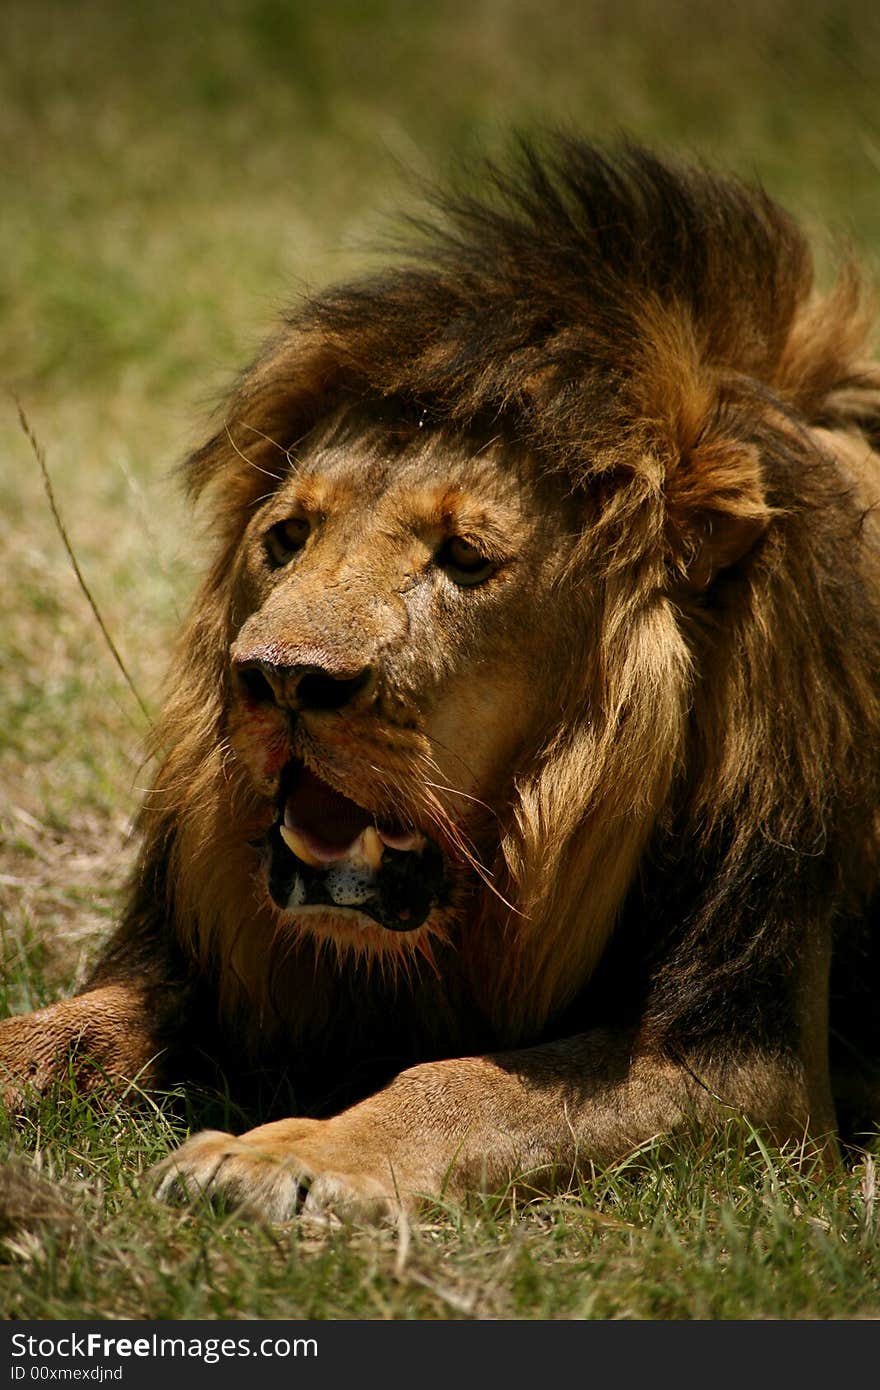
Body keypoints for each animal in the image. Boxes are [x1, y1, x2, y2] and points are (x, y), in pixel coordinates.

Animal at [1, 141, 878, 1223]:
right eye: (287, 538)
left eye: (463, 557)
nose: (279, 679)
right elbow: (55, 1032)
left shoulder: (747, 1059)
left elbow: (470, 1086)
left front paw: (276, 1154)